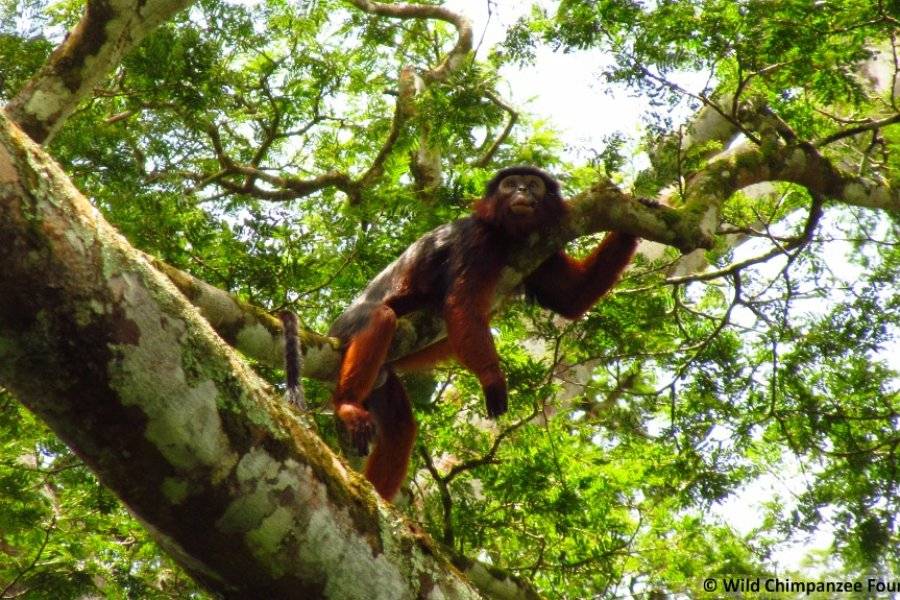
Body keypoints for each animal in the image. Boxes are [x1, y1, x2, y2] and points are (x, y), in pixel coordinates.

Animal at [320, 166, 636, 500]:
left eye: (533, 185)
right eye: (511, 184)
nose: (522, 190)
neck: (506, 235)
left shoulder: (543, 248)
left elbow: (570, 298)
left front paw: (632, 210)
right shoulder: (477, 239)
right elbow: (462, 306)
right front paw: (491, 377)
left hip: (382, 378)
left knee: (400, 429)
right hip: (345, 329)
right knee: (381, 317)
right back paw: (347, 403)